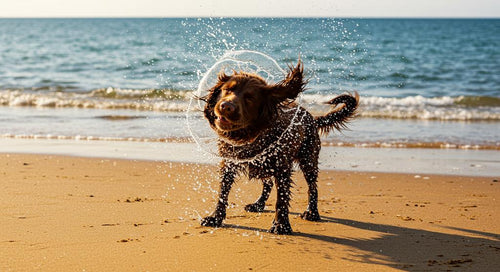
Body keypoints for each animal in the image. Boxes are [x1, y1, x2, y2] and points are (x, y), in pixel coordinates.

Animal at [197, 60, 358, 234]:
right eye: (227, 89)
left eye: (250, 98)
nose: (226, 106)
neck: (250, 135)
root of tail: (311, 117)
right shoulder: (229, 163)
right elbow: (222, 193)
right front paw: (215, 218)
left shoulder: (282, 167)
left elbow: (282, 198)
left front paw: (281, 225)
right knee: (267, 184)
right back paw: (258, 204)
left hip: (308, 158)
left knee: (312, 186)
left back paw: (312, 212)